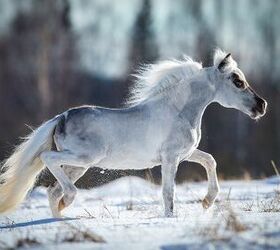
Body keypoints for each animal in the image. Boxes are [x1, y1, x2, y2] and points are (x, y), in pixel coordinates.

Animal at [0, 48, 266, 217]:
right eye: (237, 81)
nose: (262, 105)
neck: (178, 111)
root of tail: (61, 117)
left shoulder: (185, 153)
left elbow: (210, 160)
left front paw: (207, 202)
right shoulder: (170, 158)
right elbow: (168, 191)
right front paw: (171, 217)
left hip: (78, 165)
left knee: (53, 192)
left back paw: (63, 217)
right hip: (82, 158)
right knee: (48, 162)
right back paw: (69, 199)